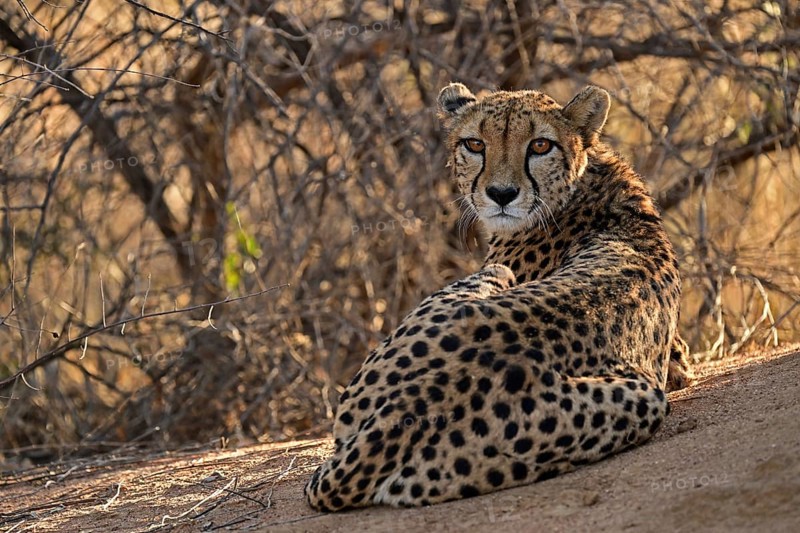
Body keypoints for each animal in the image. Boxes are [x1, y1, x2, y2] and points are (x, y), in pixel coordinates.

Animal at [304, 82, 694, 511]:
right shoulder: (678, 359)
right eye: (475, 144)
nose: (501, 194)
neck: (584, 182)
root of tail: (415, 404)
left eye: (540, 145)